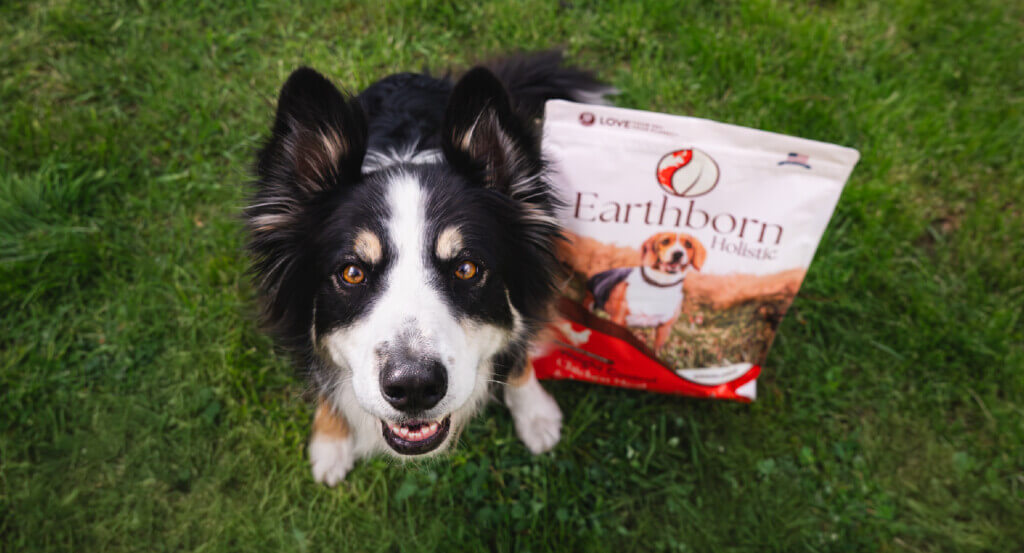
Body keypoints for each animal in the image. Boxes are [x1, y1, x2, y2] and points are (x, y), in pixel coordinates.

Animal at [243, 50, 610, 483]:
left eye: (466, 268)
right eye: (352, 272)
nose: (414, 388)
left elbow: (520, 354)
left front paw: (535, 415)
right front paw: (330, 442)